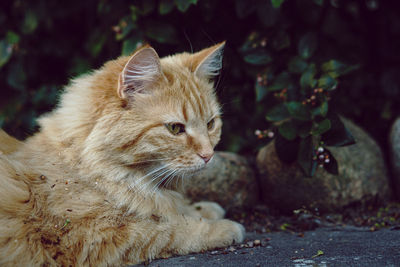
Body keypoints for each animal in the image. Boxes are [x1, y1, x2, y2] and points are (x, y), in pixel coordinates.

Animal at [0, 43, 244, 266]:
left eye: (211, 124)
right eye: (175, 128)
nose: (208, 155)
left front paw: (201, 209)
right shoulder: (94, 236)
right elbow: (170, 230)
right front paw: (222, 227)